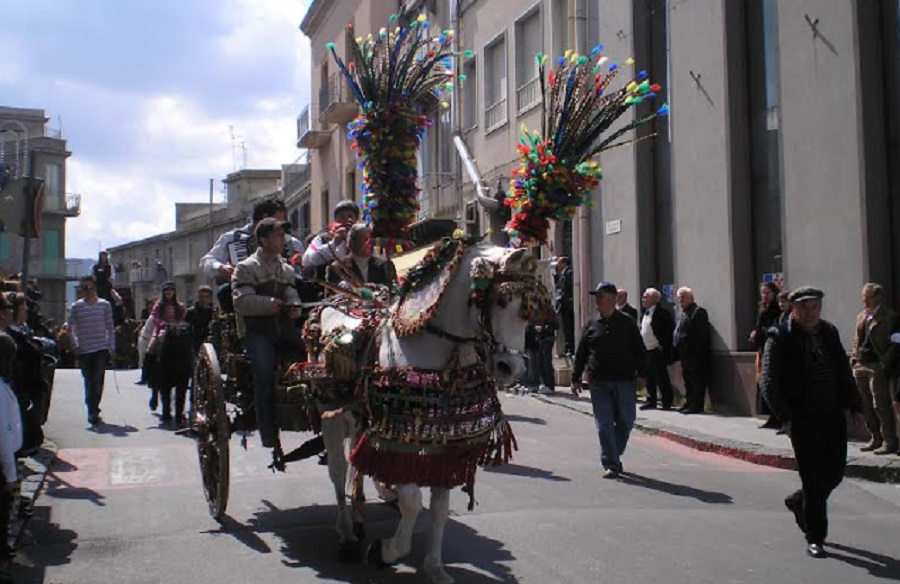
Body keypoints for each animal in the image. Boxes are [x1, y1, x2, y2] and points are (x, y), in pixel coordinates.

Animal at [312, 243, 544, 584]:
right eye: (501, 300)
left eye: (528, 306)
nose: (511, 368)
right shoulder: (397, 438)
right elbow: (412, 502)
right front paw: (386, 551)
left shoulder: (446, 443)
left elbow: (439, 508)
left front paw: (435, 567)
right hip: (332, 416)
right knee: (338, 474)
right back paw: (346, 532)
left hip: (359, 420)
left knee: (356, 465)